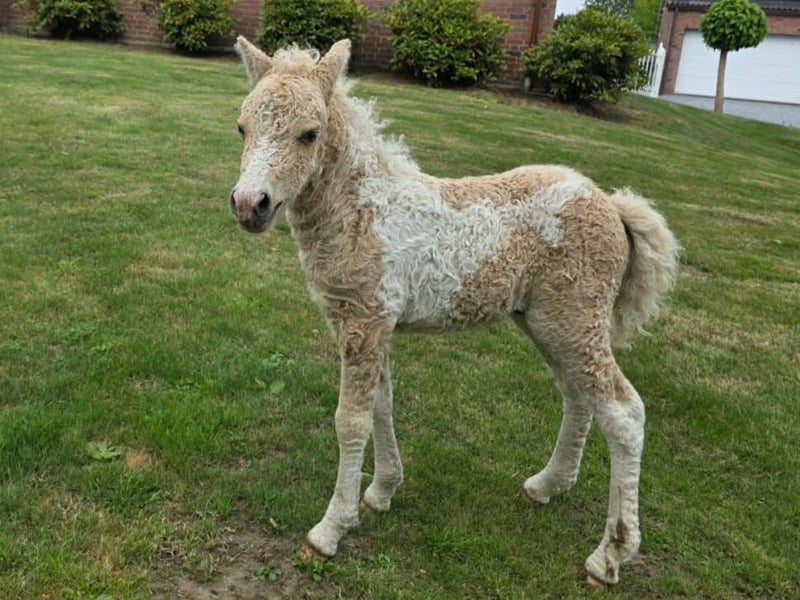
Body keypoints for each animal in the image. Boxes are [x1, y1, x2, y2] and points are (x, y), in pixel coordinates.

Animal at [229, 37, 679, 585]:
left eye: (308, 134)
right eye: (242, 127)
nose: (249, 204)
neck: (362, 211)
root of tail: (612, 206)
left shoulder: (362, 322)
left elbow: (350, 421)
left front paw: (330, 529)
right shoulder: (375, 325)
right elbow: (382, 405)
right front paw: (382, 491)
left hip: (576, 320)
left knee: (624, 412)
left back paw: (610, 554)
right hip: (547, 323)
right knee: (578, 397)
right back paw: (547, 485)